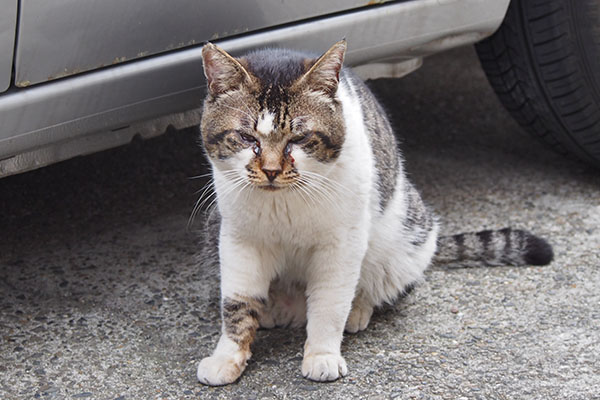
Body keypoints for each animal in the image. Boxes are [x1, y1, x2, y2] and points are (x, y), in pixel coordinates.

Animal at [193, 39, 552, 384]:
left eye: (299, 138)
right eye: (245, 137)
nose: (270, 170)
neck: (284, 203)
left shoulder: (342, 243)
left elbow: (330, 303)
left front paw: (322, 354)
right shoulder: (238, 239)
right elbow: (237, 303)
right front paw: (228, 357)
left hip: (407, 238)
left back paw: (357, 310)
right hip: (213, 227)